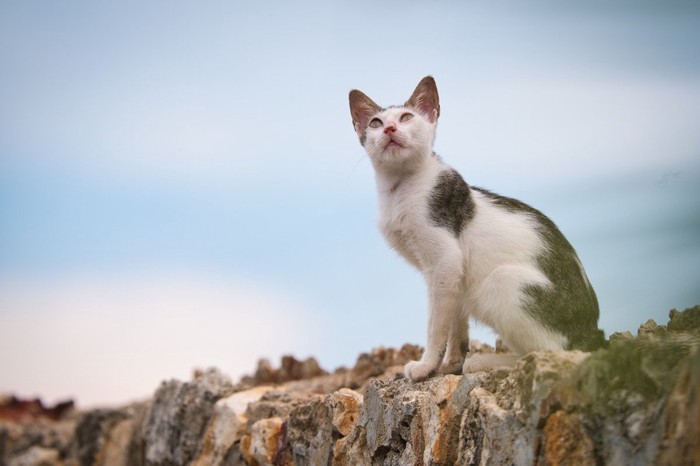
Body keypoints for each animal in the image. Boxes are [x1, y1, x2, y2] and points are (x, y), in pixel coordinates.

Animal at [348, 77, 604, 382]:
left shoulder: (445, 260)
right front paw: (450, 363)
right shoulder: (452, 273)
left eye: (406, 117)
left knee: (550, 351)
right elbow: (456, 321)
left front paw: (426, 365)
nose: (389, 129)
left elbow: (436, 324)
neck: (399, 188)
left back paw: (487, 362)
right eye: (375, 123)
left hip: (503, 282)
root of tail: (591, 331)